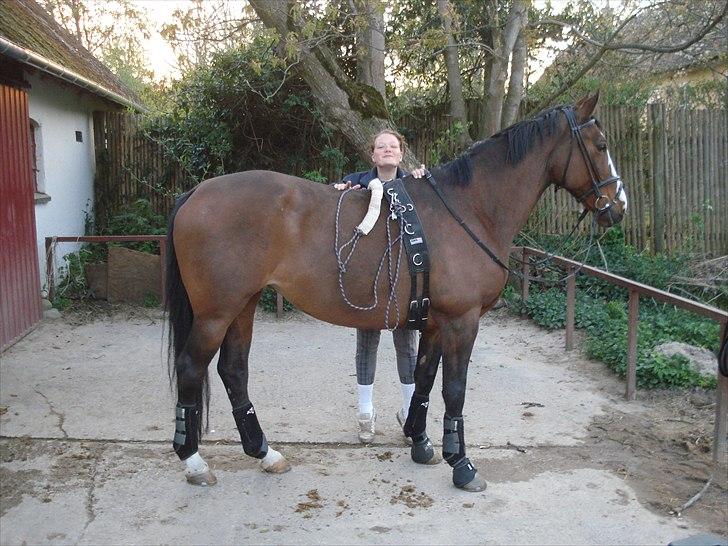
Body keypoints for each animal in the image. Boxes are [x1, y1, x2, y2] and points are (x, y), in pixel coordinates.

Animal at [164, 93, 624, 488]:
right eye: (600, 144)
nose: (618, 207)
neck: (468, 208)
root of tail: (196, 192)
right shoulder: (462, 322)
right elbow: (454, 390)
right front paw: (462, 465)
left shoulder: (436, 323)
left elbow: (422, 380)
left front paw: (420, 443)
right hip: (216, 313)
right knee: (191, 368)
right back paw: (194, 461)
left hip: (243, 305)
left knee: (233, 371)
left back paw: (264, 452)